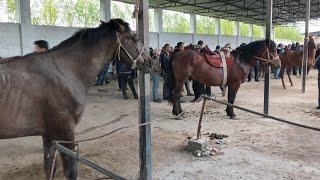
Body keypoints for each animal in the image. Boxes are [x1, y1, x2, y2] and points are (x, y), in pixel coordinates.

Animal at [0, 19, 152, 179]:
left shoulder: (48, 133)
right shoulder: (65, 130)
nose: (150, 62)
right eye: (134, 37)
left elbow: (49, 167)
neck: (65, 71)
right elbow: (70, 171)